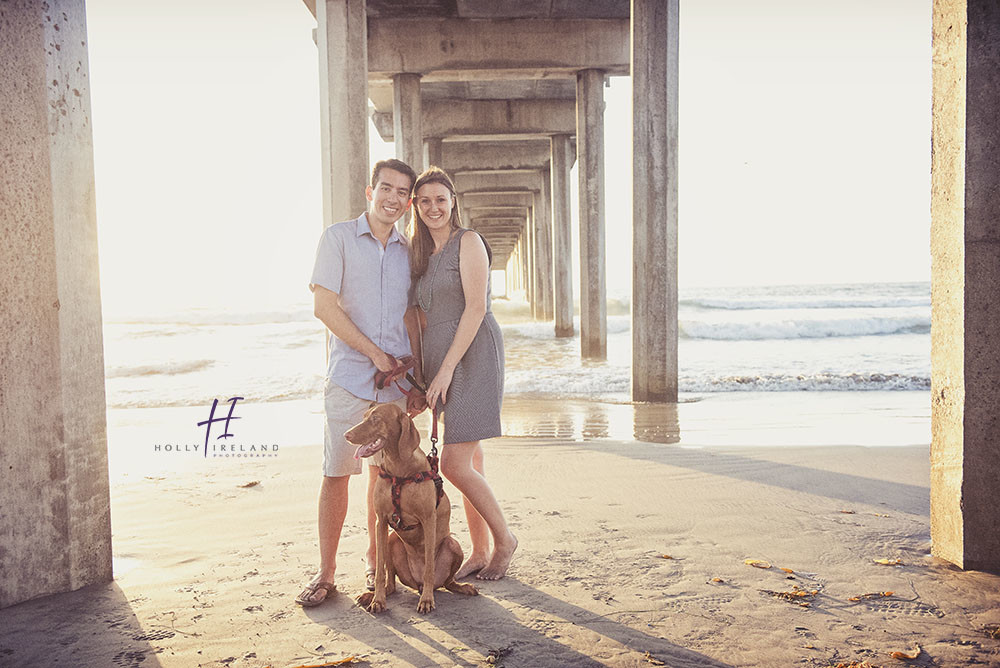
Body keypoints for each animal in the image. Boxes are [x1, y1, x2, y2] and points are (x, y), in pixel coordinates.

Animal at [346, 400, 478, 612]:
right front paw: (378, 600)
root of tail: (417, 584)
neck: (399, 471)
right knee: (392, 584)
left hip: (453, 545)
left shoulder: (428, 520)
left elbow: (429, 569)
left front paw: (426, 600)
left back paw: (460, 587)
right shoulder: (381, 521)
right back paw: (372, 595)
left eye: (376, 419)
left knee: (447, 581)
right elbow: (380, 570)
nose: (346, 435)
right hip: (392, 539)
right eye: (364, 417)